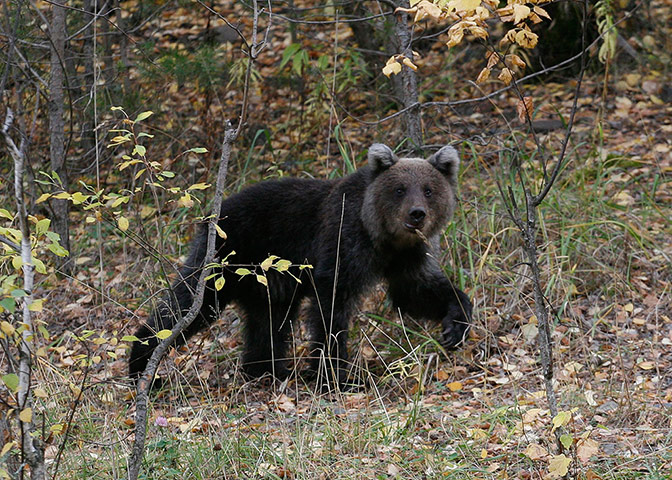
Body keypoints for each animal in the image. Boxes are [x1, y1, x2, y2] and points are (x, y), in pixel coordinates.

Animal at [129, 143, 472, 388]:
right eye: (399, 189)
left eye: (429, 189)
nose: (417, 214)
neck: (383, 238)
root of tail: (215, 212)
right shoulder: (343, 240)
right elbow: (332, 305)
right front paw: (337, 376)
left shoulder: (408, 256)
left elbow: (416, 291)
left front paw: (455, 325)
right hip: (227, 257)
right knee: (191, 303)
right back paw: (143, 364)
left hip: (267, 280)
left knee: (269, 321)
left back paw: (267, 370)